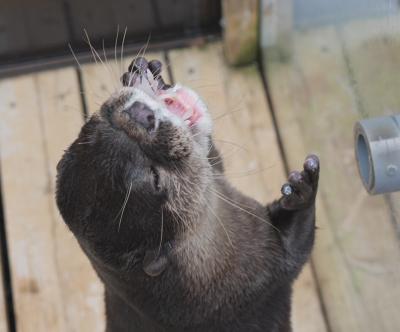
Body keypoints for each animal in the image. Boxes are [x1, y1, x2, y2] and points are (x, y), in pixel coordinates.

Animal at [55, 57, 318, 332]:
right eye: (155, 178)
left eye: (100, 119)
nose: (140, 113)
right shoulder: (264, 274)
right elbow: (298, 249)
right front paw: (301, 191)